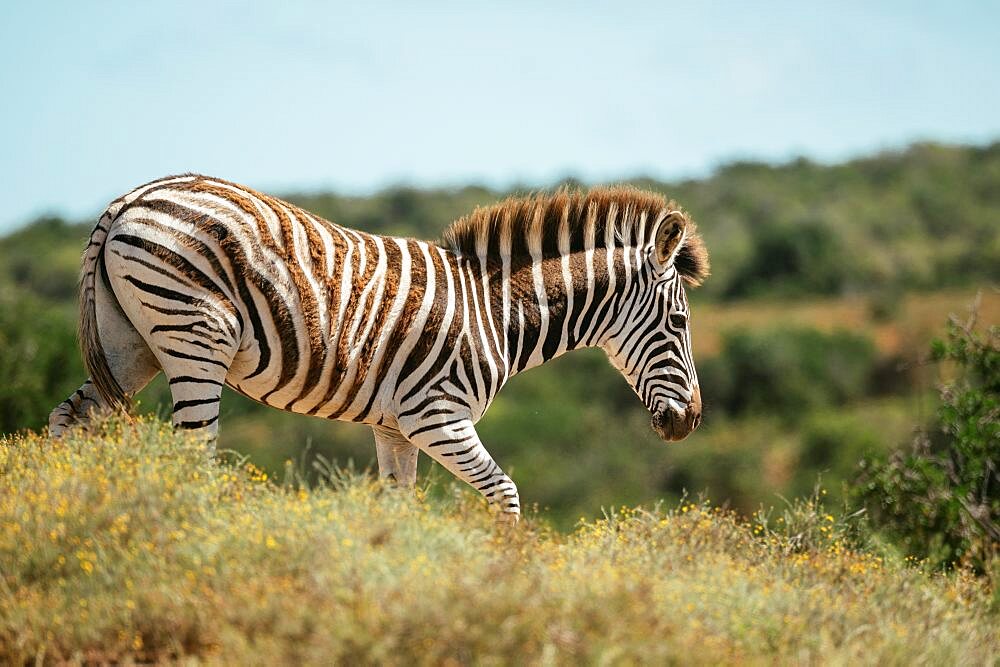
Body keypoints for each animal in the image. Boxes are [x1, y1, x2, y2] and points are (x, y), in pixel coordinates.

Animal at [48, 175, 712, 524]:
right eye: (678, 321)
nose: (690, 423)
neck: (496, 311)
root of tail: (130, 199)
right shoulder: (435, 416)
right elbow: (506, 494)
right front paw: (507, 579)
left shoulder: (394, 427)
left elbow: (399, 507)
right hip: (193, 340)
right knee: (192, 456)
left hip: (130, 345)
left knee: (68, 419)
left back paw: (64, 515)